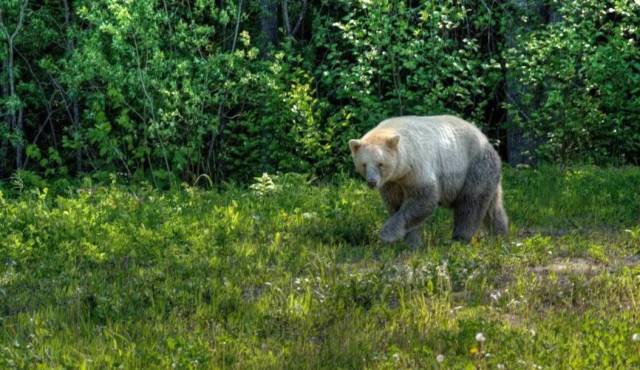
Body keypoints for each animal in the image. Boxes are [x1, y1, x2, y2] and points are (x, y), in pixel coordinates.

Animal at [348, 115, 508, 249]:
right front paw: (412, 242)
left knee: (470, 204)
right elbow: (396, 204)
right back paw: (500, 235)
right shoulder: (392, 182)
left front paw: (387, 234)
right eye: (364, 164)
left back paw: (459, 238)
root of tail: (486, 140)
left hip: (475, 167)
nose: (372, 182)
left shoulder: (417, 168)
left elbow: (423, 199)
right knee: (493, 207)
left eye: (380, 163)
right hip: (488, 175)